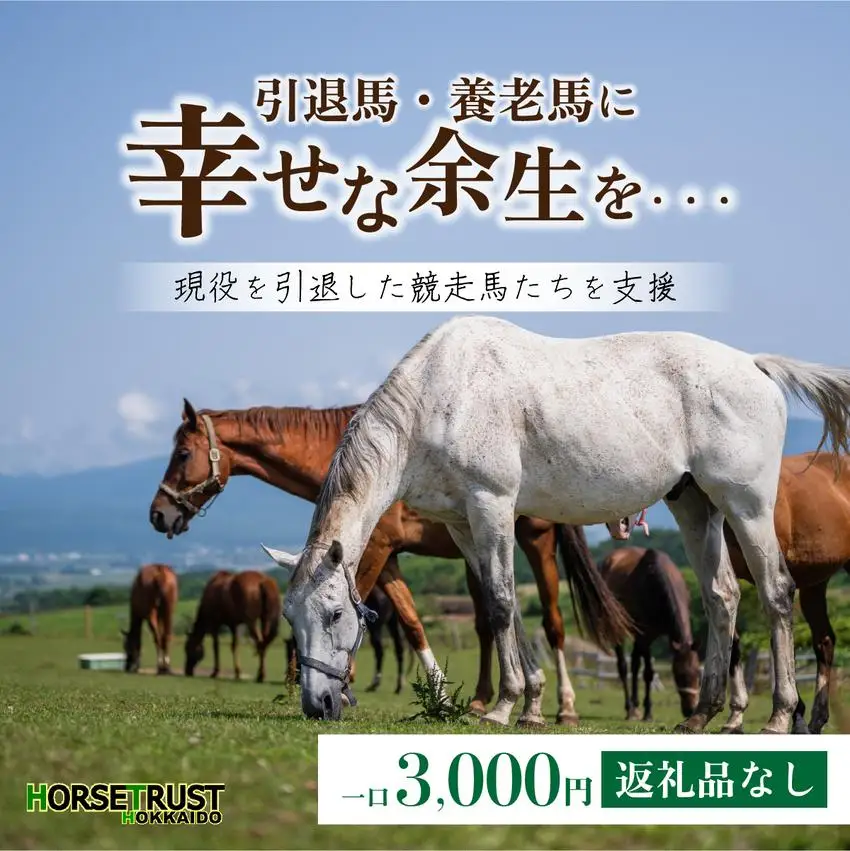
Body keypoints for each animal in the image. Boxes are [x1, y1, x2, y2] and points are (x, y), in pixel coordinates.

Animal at [149, 398, 632, 724]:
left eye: (183, 454)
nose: (158, 513)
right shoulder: (387, 557)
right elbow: (412, 621)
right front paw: (439, 697)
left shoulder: (376, 551)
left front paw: (340, 684)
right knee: (489, 623)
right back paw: (482, 700)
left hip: (536, 544)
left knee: (552, 623)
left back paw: (562, 707)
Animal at [598, 547, 700, 721]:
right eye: (678, 675)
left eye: (698, 674)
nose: (690, 710)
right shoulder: (646, 636)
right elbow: (648, 673)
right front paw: (648, 713)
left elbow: (642, 669)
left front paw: (644, 709)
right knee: (623, 667)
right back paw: (630, 709)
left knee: (634, 663)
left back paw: (635, 706)